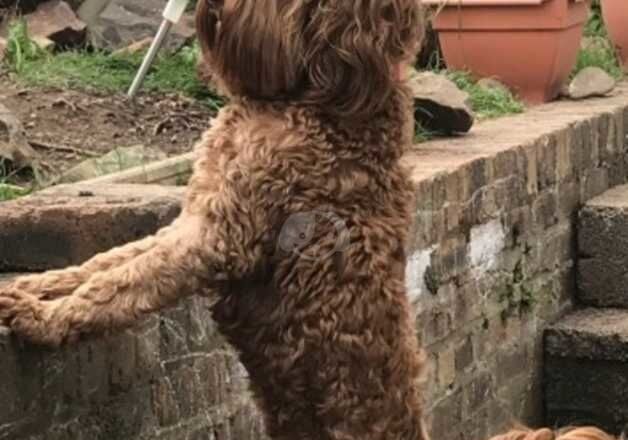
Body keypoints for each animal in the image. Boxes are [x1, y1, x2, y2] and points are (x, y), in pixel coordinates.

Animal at [0, 0, 620, 440]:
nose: (212, 2)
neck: (311, 98)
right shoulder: (195, 216)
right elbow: (105, 261)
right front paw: (33, 288)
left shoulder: (219, 237)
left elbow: (119, 285)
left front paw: (40, 318)